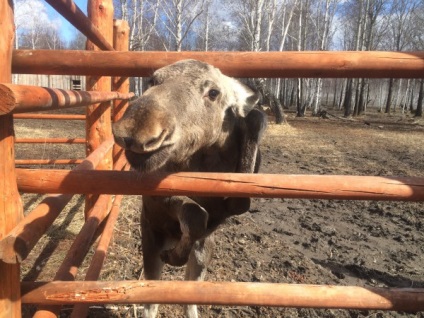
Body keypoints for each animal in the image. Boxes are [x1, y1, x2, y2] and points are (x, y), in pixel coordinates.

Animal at [112, 59, 264, 318]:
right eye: (152, 80)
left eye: (213, 92)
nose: (135, 129)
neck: (200, 160)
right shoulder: (157, 195)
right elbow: (195, 213)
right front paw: (175, 255)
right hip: (150, 243)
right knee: (150, 300)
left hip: (203, 254)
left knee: (189, 295)